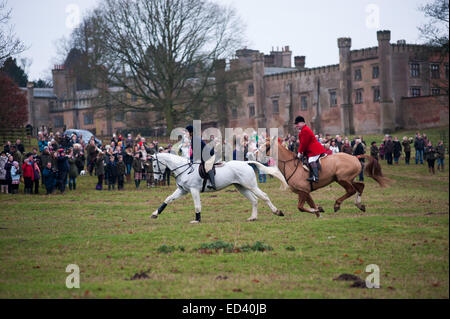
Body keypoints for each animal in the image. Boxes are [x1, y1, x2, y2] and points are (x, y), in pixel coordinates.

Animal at [149, 153, 286, 224]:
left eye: (154, 164)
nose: (156, 179)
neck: (185, 170)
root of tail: (246, 163)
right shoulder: (183, 190)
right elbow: (168, 199)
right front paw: (155, 214)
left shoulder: (194, 190)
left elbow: (197, 205)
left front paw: (197, 220)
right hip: (241, 187)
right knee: (254, 200)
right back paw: (253, 217)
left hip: (250, 185)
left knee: (264, 196)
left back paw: (277, 212)